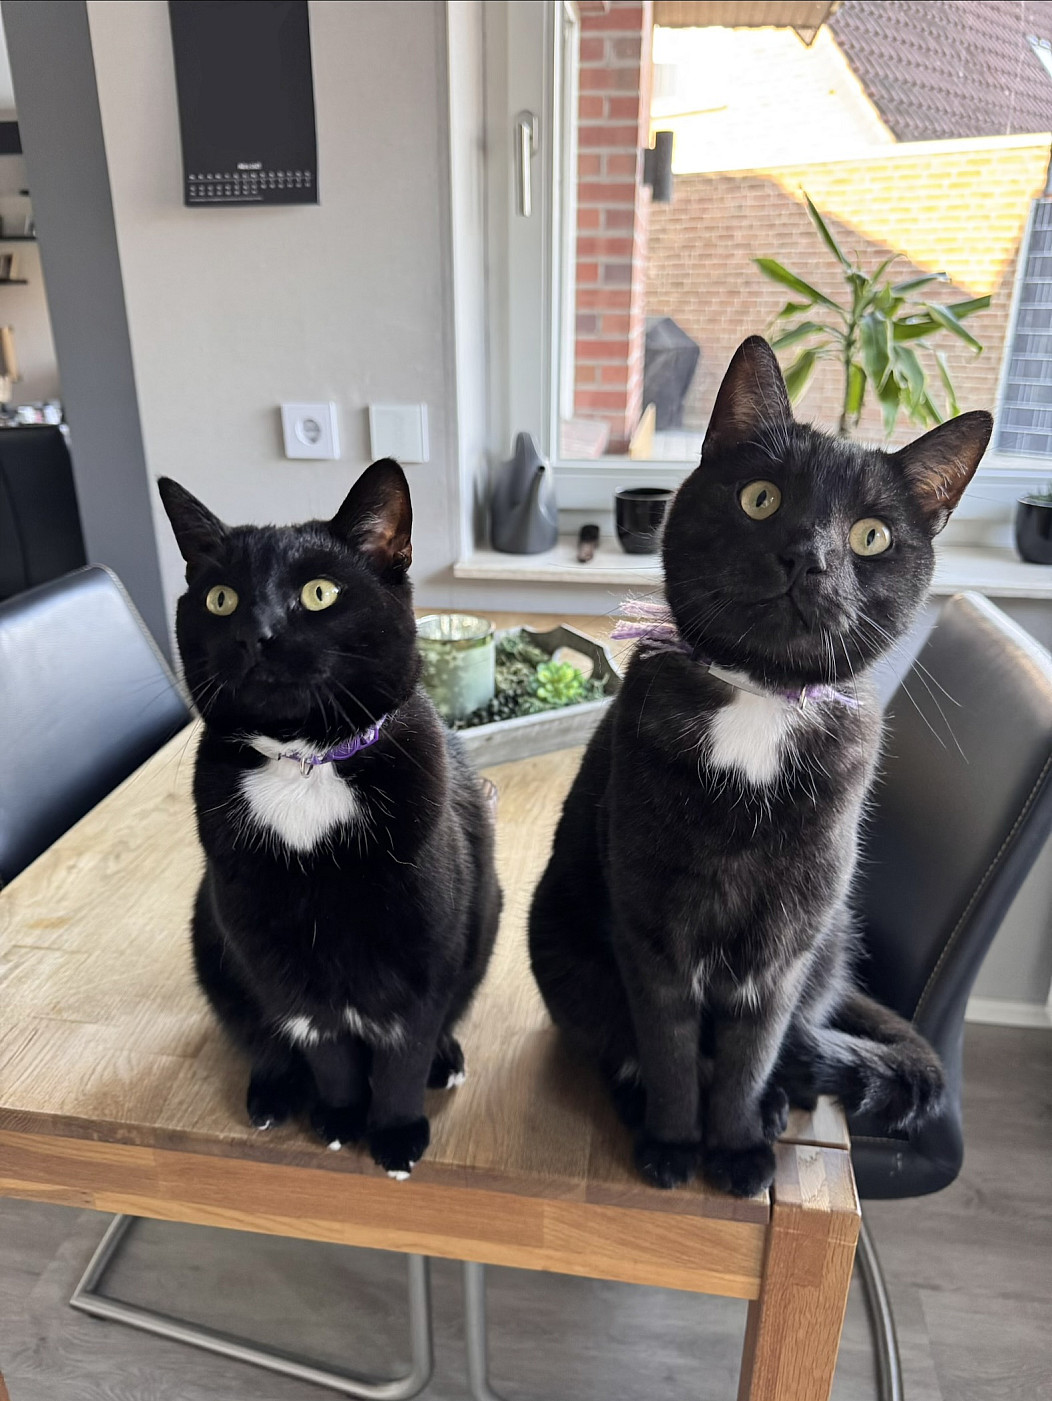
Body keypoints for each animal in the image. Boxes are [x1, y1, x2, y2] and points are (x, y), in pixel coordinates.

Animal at [158, 458, 501, 1179]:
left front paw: (395, 1130)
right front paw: (341, 1116)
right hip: (212, 929)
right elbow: (321, 1042)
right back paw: (272, 1090)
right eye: (220, 599)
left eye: (319, 593)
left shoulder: (423, 945)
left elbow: (404, 1047)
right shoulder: (274, 951)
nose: (254, 633)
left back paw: (445, 1060)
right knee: (257, 1033)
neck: (306, 766)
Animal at [529, 337, 992, 1197]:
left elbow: (753, 1048)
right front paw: (675, 1141)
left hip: (832, 937)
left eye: (871, 537)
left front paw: (739, 1144)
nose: (808, 555)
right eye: (760, 498)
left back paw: (779, 1104)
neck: (758, 702)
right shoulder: (651, 925)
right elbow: (670, 1046)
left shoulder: (786, 941)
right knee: (615, 1041)